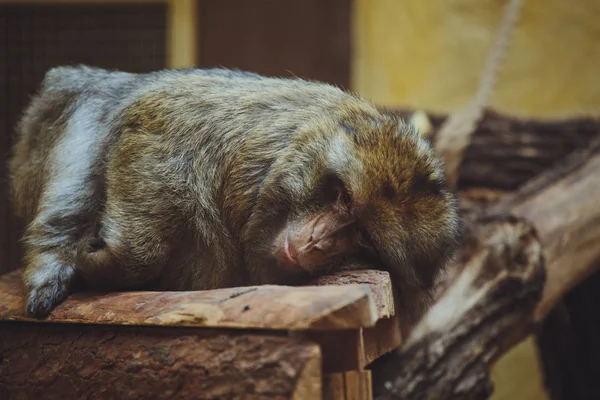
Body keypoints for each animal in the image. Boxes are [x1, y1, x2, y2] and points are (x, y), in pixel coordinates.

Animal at [8, 64, 460, 324]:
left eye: (364, 239)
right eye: (343, 199)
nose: (319, 239)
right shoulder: (236, 134)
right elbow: (151, 123)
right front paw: (110, 261)